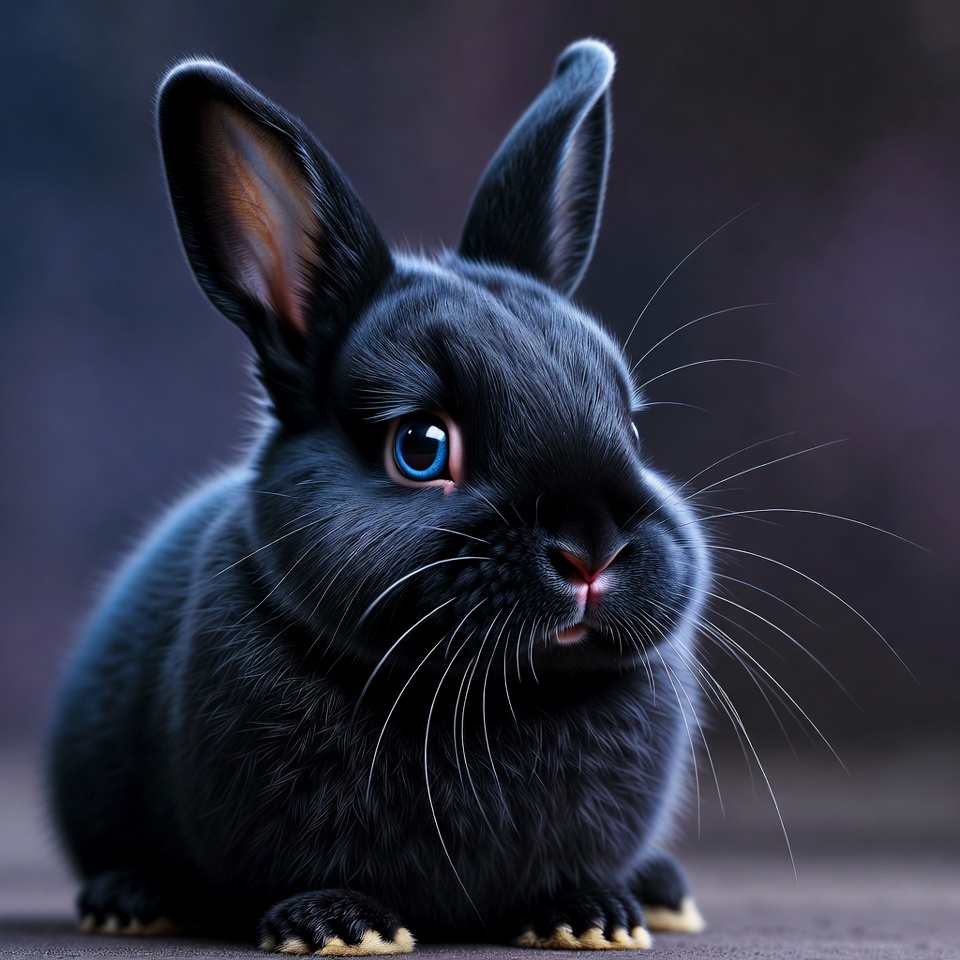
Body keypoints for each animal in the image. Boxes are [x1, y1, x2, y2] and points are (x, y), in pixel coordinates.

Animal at [48, 38, 712, 954]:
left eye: (632, 429)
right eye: (421, 448)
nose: (592, 551)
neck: (494, 698)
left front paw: (589, 916)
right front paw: (337, 925)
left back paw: (660, 893)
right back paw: (131, 902)